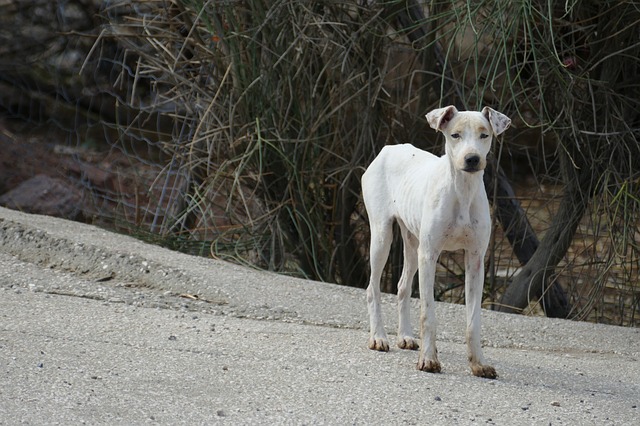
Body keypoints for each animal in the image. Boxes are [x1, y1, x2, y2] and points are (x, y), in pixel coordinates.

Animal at [362, 106, 512, 380]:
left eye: (484, 135)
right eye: (455, 135)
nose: (472, 159)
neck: (462, 190)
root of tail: (387, 148)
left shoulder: (475, 260)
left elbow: (474, 321)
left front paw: (479, 364)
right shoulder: (430, 255)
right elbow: (428, 314)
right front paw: (429, 360)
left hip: (412, 245)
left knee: (402, 286)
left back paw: (405, 336)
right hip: (382, 237)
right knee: (372, 288)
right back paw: (378, 337)